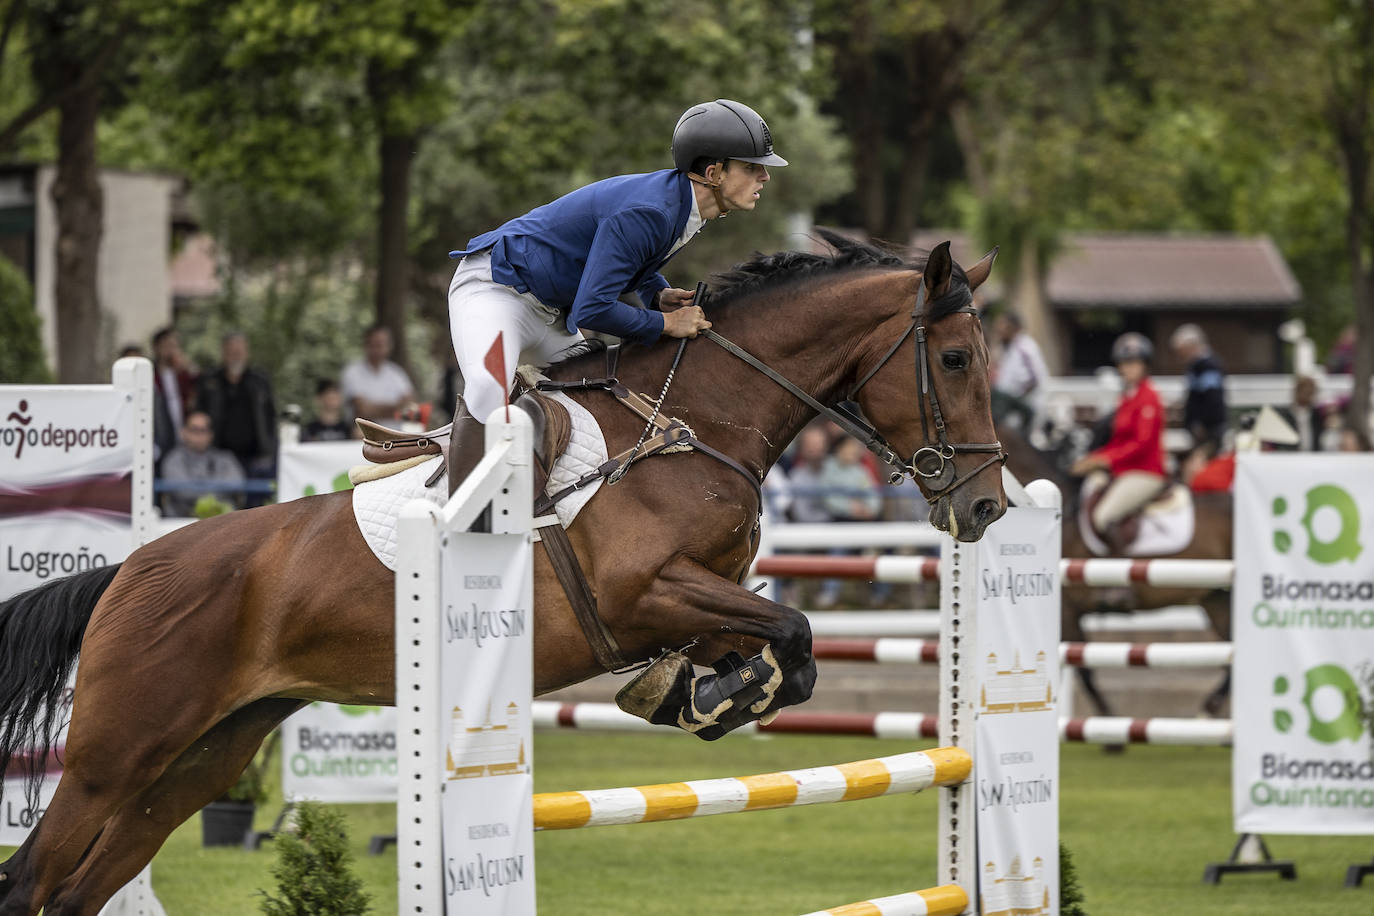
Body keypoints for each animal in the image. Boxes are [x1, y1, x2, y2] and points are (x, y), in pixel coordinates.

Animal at [0, 233, 1011, 911]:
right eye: (956, 358)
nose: (987, 507)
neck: (695, 420)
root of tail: (129, 571)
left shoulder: (705, 597)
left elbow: (780, 648)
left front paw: (693, 692)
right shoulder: (643, 592)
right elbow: (793, 634)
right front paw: (707, 695)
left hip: (198, 762)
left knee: (79, 887)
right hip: (114, 759)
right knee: (33, 881)